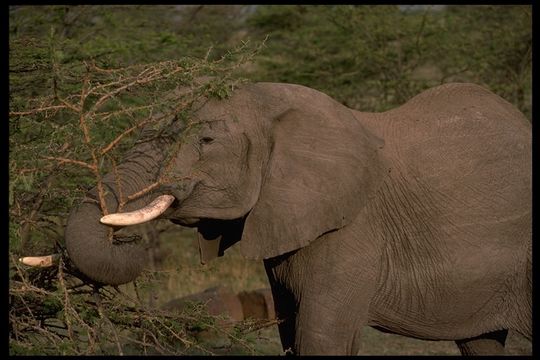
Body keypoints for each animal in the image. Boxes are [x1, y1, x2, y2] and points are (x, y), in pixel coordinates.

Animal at [64, 81, 532, 354]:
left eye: (207, 140)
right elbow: (291, 331)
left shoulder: (353, 227)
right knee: (481, 343)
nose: (123, 237)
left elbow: (321, 335)